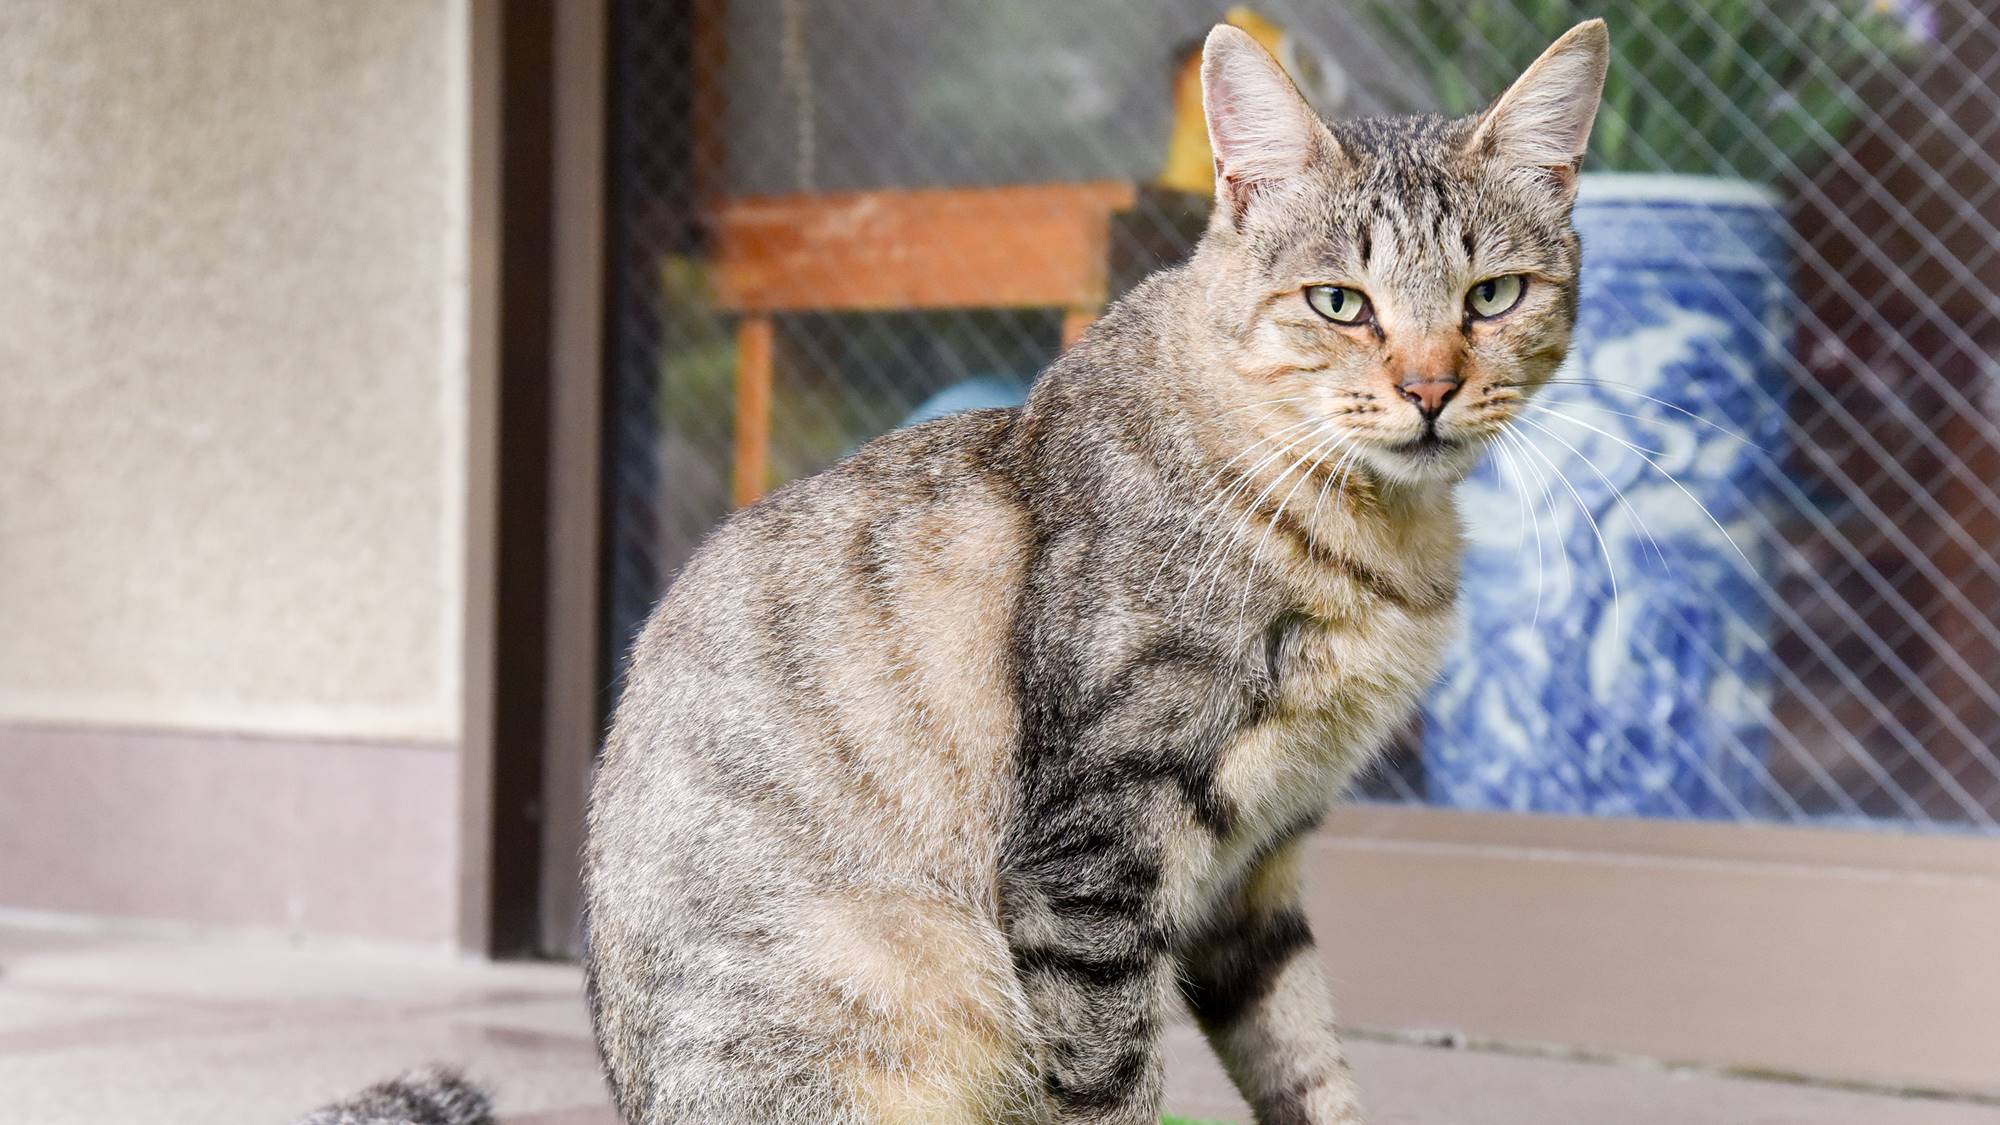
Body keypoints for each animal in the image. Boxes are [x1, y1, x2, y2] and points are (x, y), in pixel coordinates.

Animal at [580, 19, 1608, 1120]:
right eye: (1340, 303)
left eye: (1492, 294)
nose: (1428, 388)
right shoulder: (1089, 858)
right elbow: (1114, 1076)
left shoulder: (1257, 873)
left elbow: (1306, 1061)